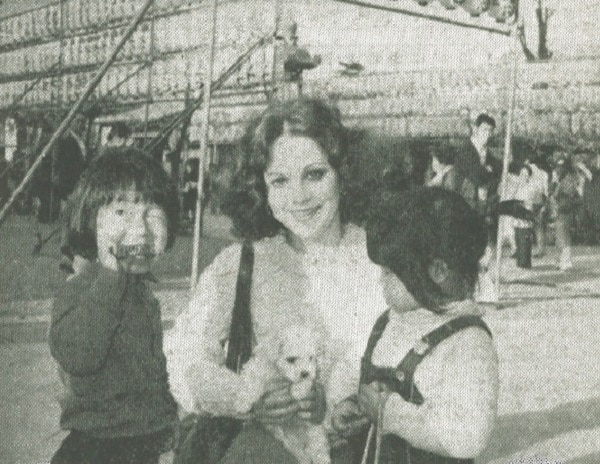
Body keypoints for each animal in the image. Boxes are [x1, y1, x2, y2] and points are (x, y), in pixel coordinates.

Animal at [234, 324, 330, 464]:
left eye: (311, 358)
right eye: (291, 359)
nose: (305, 373)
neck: (280, 374)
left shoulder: (313, 375)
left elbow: (307, 382)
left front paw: (298, 390)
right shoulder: (257, 368)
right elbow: (251, 381)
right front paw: (242, 403)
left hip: (315, 432)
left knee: (318, 449)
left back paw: (321, 459)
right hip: (285, 438)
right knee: (299, 452)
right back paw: (304, 458)